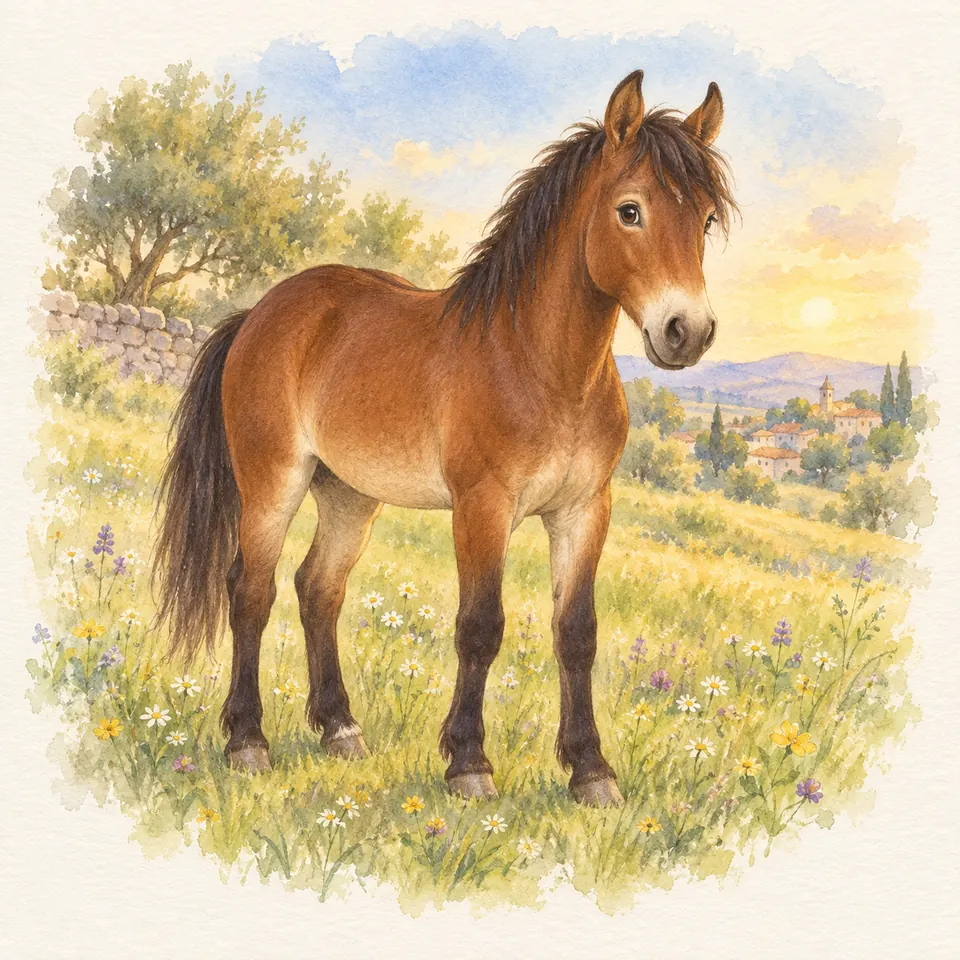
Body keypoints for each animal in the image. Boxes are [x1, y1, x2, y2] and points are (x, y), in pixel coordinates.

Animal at [153, 70, 735, 807]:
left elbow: (577, 633)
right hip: (273, 480)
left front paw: (590, 772)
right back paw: (247, 741)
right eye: (630, 211)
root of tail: (262, 312)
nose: (688, 332)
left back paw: (340, 728)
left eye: (707, 220)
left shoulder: (584, 511)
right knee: (251, 591)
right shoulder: (482, 507)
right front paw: (468, 763)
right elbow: (481, 627)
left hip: (349, 494)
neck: (538, 365)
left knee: (319, 589)